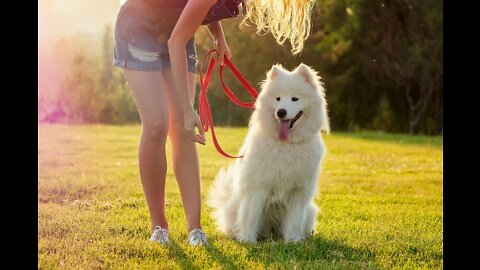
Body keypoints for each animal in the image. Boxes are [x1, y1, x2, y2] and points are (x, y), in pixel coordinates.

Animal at [208, 62, 328, 243]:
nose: (281, 112)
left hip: (309, 212)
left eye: (295, 99)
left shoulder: (298, 191)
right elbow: (252, 217)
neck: (286, 145)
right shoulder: (258, 187)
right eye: (277, 99)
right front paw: (248, 241)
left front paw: (292, 242)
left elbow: (293, 220)